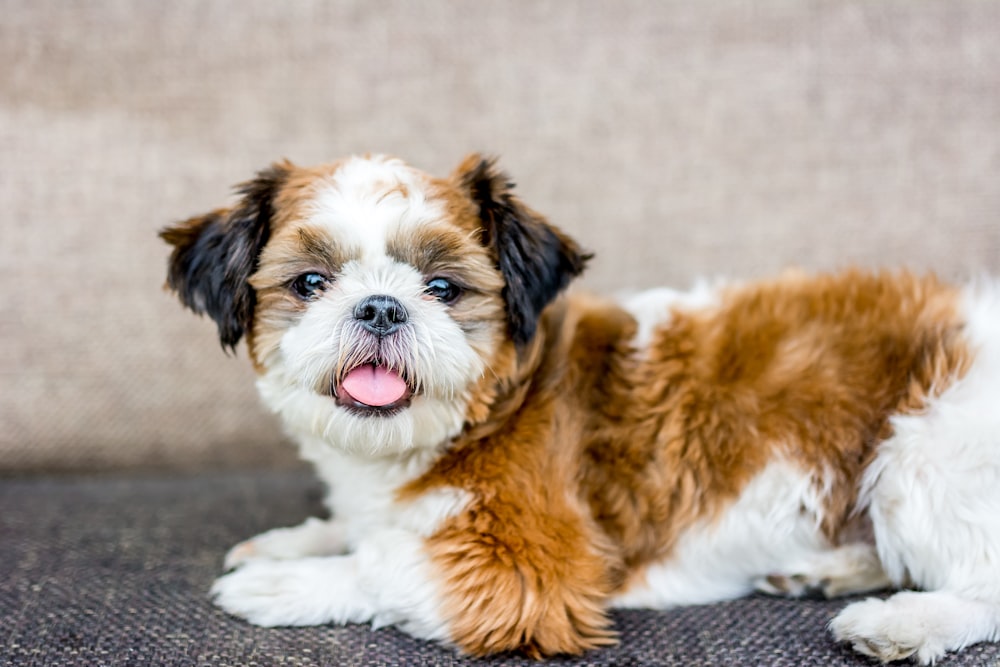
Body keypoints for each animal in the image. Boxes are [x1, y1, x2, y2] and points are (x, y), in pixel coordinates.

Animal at [160, 155, 1000, 664]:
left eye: (443, 287)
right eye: (309, 282)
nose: (380, 307)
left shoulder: (530, 576)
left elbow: (389, 562)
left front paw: (289, 583)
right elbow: (371, 526)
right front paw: (296, 541)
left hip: (924, 450)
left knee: (984, 582)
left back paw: (902, 619)